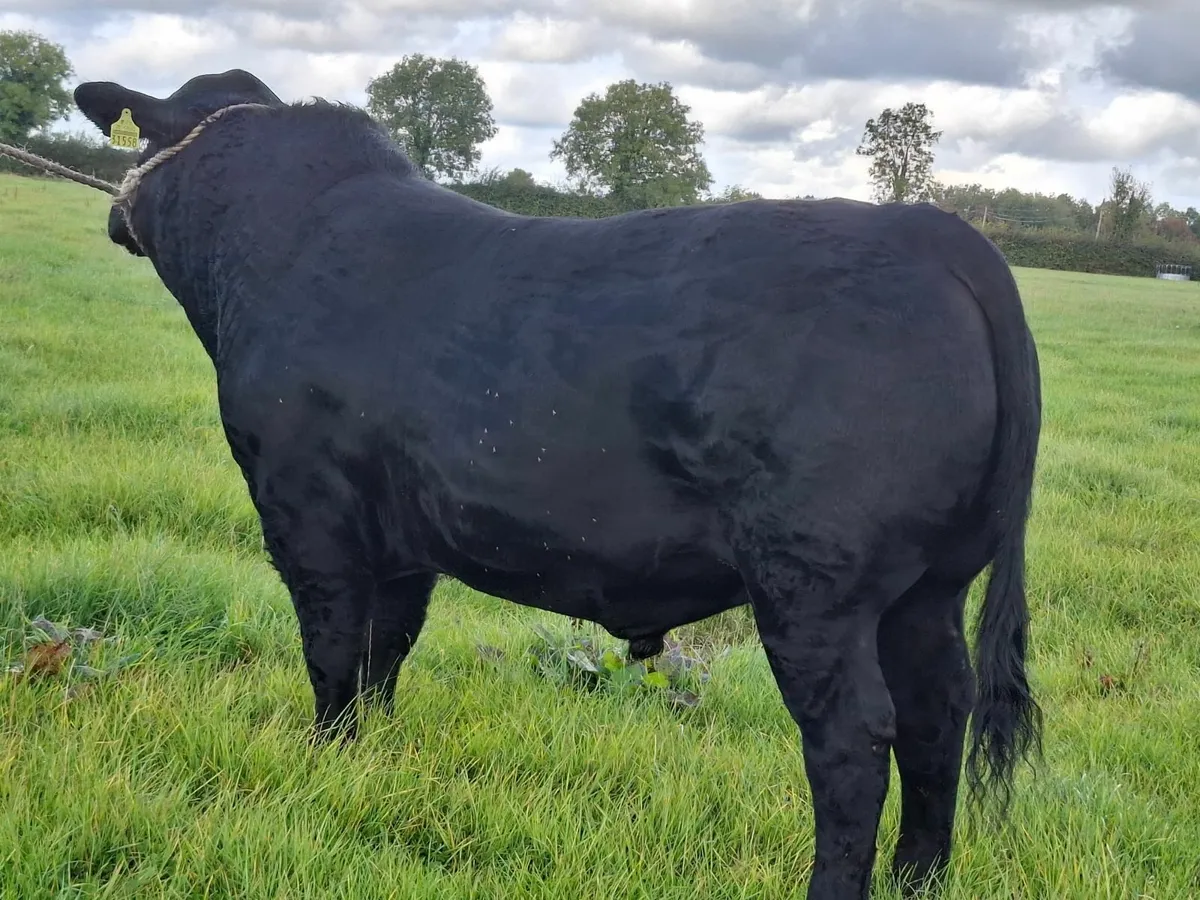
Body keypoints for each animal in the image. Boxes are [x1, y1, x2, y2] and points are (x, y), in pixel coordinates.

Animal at [72, 69, 1042, 900]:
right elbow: (387, 651)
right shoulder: (402, 536)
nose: (115, 216)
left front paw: (326, 762)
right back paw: (922, 878)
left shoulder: (307, 510)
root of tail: (932, 231)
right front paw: (369, 765)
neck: (277, 247)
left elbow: (334, 653)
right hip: (928, 588)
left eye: (143, 138)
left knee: (853, 739)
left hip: (815, 585)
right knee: (937, 710)